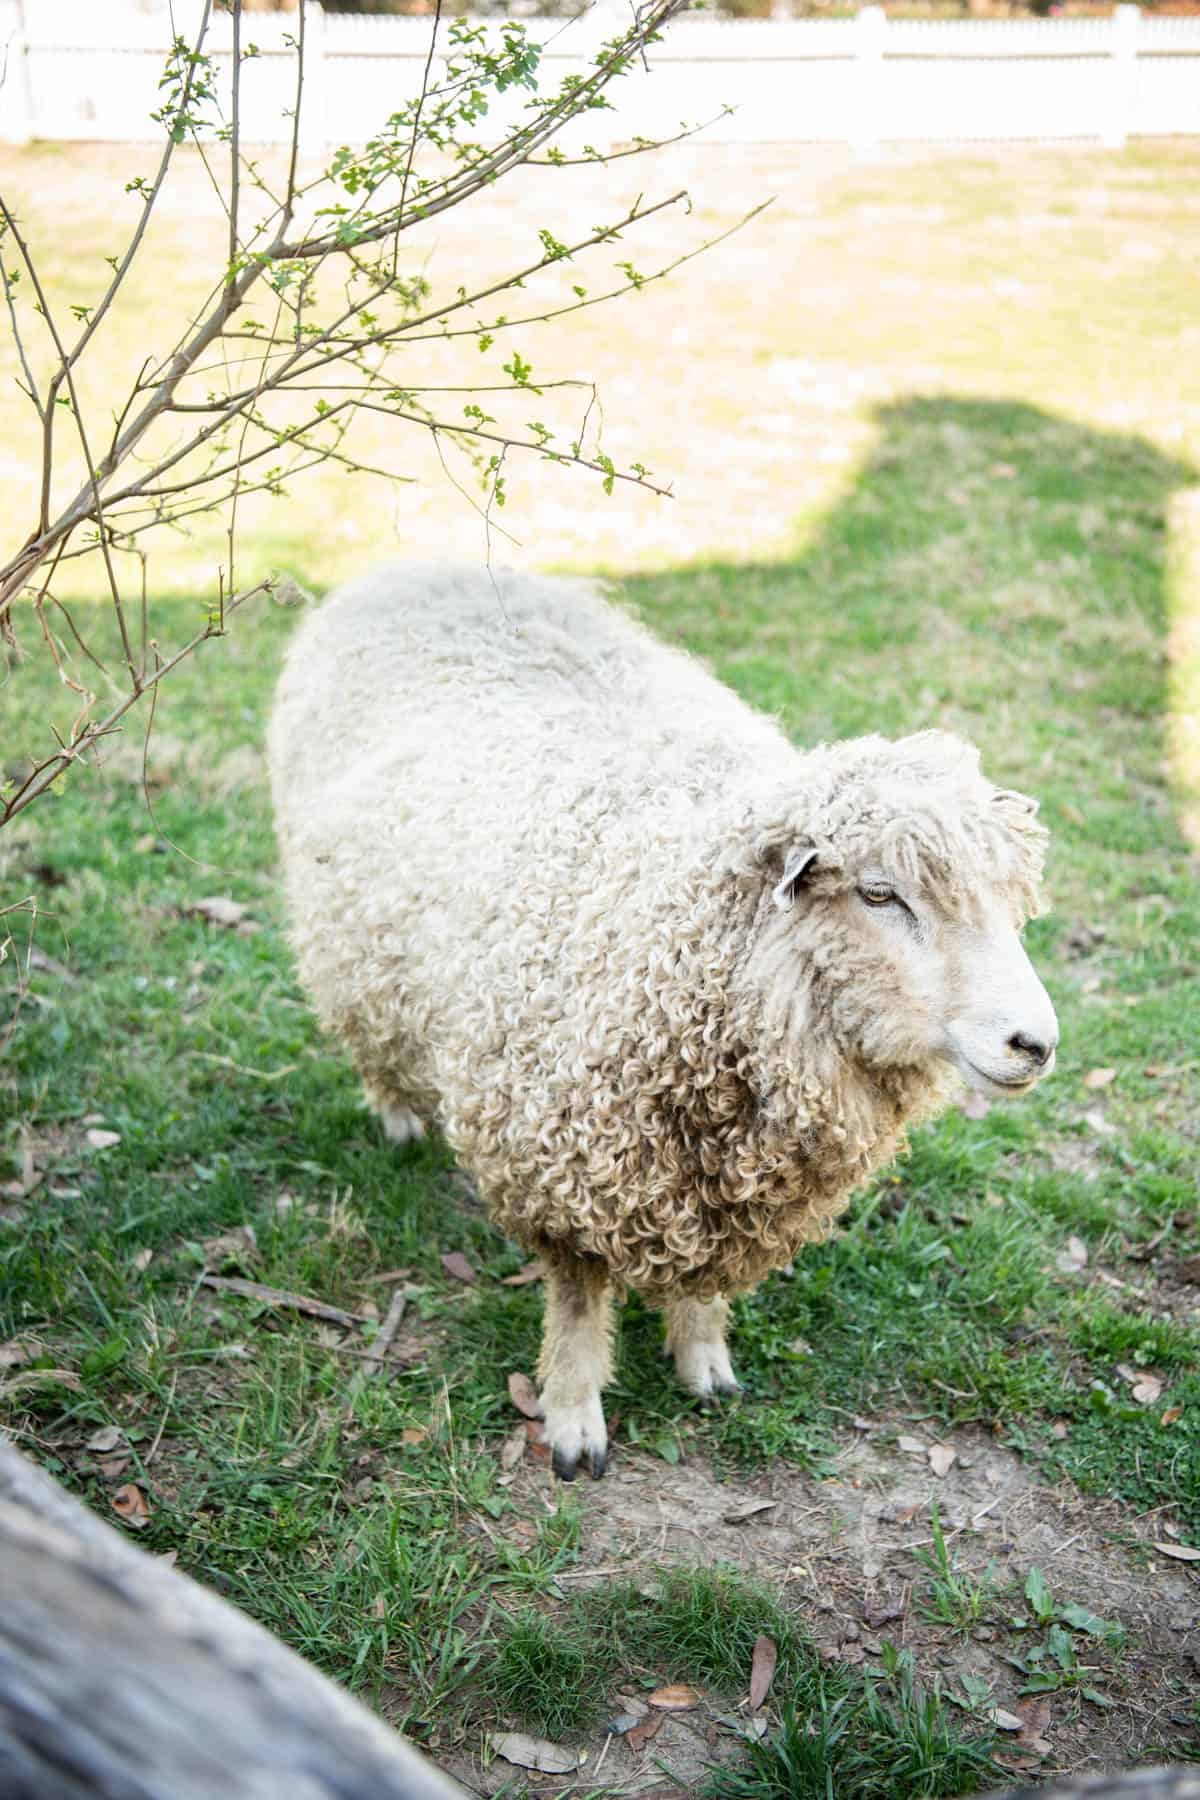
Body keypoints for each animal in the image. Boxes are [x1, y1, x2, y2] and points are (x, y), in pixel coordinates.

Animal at [268, 562, 1058, 1480]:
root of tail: (411, 568)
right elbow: (578, 1305)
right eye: (878, 893)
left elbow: (704, 1287)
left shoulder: (720, 1187)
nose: (1034, 1044)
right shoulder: (555, 1160)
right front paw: (574, 1422)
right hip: (353, 947)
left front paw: (704, 1364)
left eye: (1011, 900)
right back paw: (397, 1115)